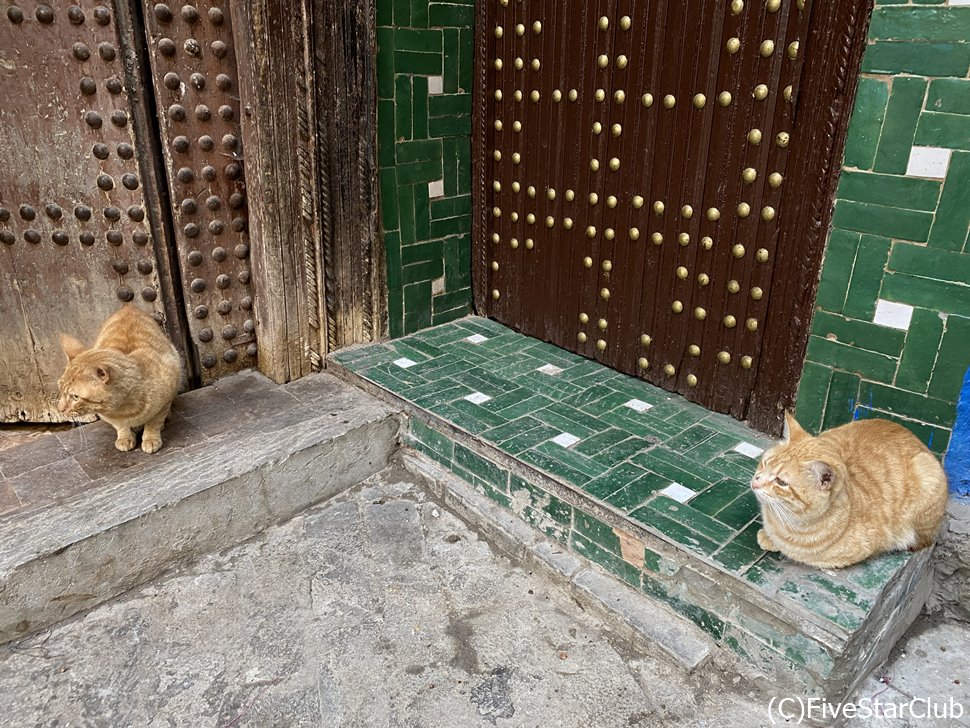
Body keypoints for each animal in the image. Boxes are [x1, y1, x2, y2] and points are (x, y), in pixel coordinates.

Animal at [57, 304, 183, 452]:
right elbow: (121, 426)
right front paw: (125, 437)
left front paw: (151, 438)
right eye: (60, 389)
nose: (60, 409)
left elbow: (154, 422)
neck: (123, 410)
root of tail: (128, 306)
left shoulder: (166, 396)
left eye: (75, 397)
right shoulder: (116, 420)